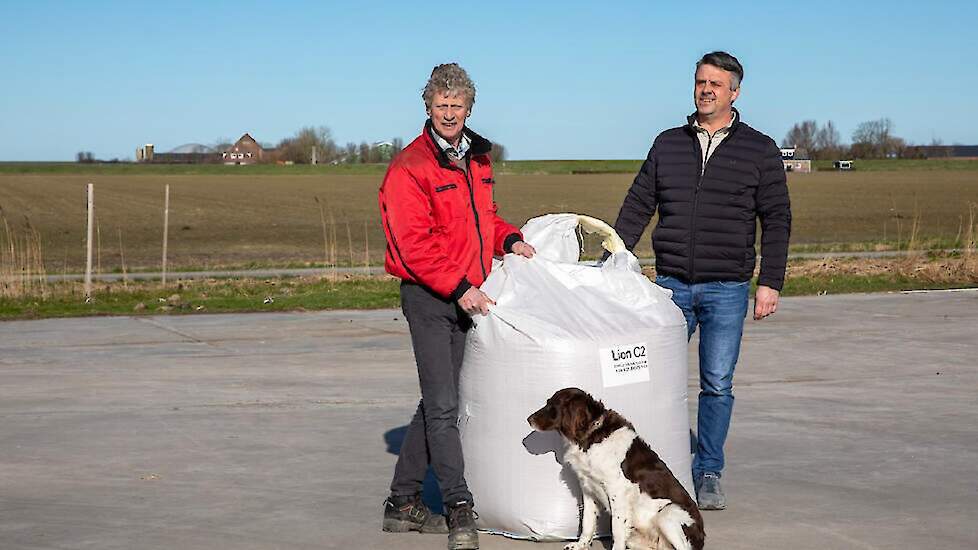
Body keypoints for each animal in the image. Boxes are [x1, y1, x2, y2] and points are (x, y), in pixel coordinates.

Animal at [528, 388, 700, 550]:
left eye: (552, 405)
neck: (591, 435)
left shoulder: (618, 491)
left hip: (668, 513)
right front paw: (580, 545)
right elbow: (587, 522)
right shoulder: (588, 489)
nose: (528, 419)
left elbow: (616, 529)